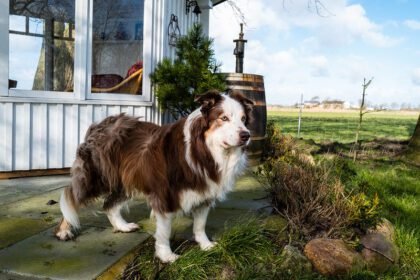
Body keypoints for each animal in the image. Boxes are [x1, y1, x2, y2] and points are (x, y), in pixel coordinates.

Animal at [54, 89, 254, 262]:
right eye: (224, 118)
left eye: (243, 119)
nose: (246, 135)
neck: (204, 150)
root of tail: (101, 125)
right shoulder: (165, 195)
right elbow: (164, 231)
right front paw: (167, 256)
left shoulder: (205, 191)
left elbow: (200, 224)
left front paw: (206, 246)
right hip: (95, 178)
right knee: (70, 196)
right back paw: (64, 230)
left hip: (126, 181)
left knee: (109, 204)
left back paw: (122, 226)